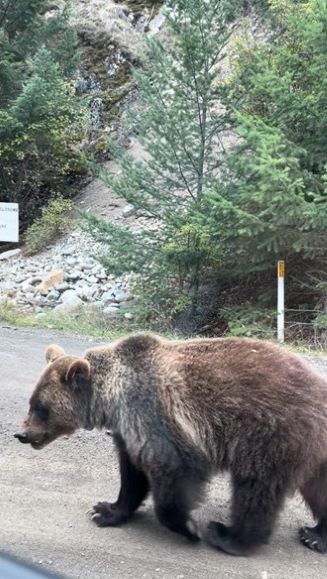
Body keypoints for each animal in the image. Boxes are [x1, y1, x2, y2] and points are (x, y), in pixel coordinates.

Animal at [14, 334, 327, 556]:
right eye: (32, 403)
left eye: (41, 408)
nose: (22, 434)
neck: (111, 399)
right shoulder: (129, 430)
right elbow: (132, 474)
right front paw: (106, 510)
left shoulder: (155, 413)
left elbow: (175, 468)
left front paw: (188, 527)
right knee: (317, 489)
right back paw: (315, 535)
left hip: (272, 433)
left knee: (257, 487)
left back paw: (229, 536)